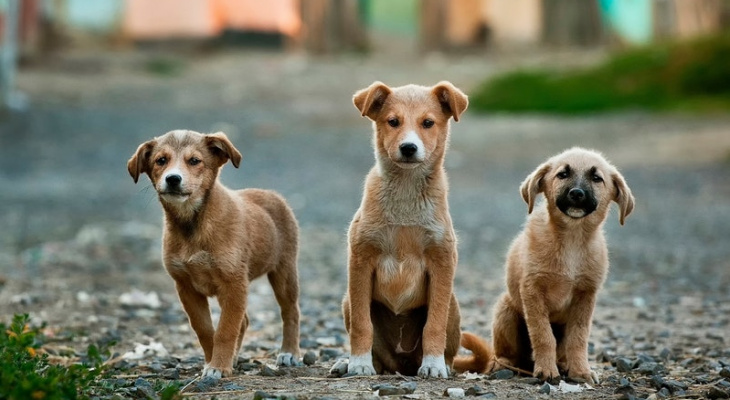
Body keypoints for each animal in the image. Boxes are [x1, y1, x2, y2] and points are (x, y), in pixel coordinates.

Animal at [129, 130, 302, 378]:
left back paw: (289, 352)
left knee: (290, 312)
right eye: (161, 160)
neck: (193, 225)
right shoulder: (186, 287)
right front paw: (214, 362)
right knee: (244, 321)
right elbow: (205, 329)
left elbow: (225, 330)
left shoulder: (234, 283)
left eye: (194, 161)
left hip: (284, 272)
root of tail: (272, 194)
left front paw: (218, 366)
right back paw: (236, 358)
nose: (173, 179)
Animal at [334, 82, 490, 378]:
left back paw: (441, 364)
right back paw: (350, 363)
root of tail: (402, 364)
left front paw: (433, 364)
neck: (405, 194)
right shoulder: (360, 260)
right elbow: (361, 324)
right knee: (378, 354)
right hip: (347, 300)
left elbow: (434, 325)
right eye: (393, 122)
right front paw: (358, 363)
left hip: (453, 304)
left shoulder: (442, 261)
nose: (408, 148)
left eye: (428, 123)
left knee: (448, 346)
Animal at [490, 146, 632, 382]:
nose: (576, 193)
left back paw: (564, 365)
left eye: (596, 178)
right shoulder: (532, 290)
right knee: (507, 353)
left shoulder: (586, 295)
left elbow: (579, 338)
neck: (572, 240)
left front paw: (581, 371)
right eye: (563, 174)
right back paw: (502, 364)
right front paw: (546, 370)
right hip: (505, 310)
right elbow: (543, 334)